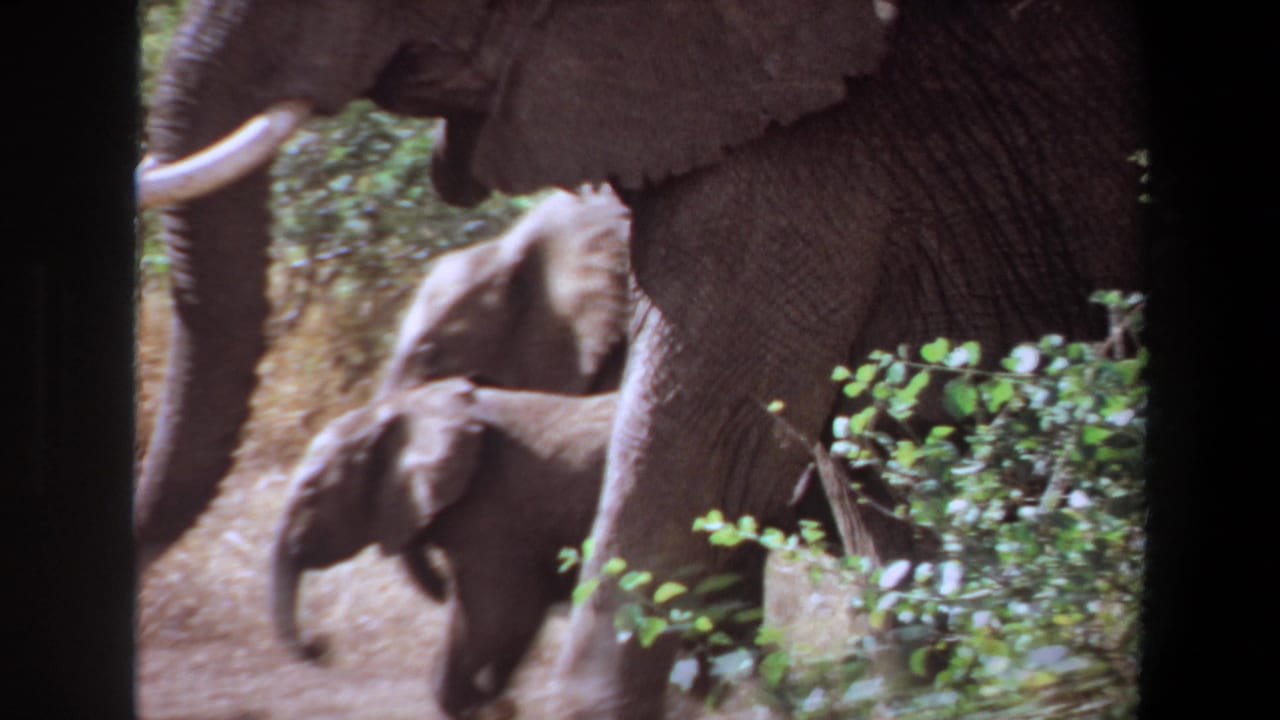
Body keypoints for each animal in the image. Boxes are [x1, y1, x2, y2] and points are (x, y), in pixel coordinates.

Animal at [271, 377, 616, 718]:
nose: (320, 644)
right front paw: (497, 703)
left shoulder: (495, 511)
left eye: (311, 493)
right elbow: (517, 620)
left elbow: (496, 616)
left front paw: (478, 704)